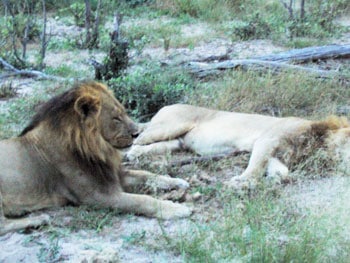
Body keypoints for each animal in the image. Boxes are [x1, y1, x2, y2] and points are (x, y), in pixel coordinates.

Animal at [0, 82, 191, 235]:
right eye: (116, 118)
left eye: (124, 112)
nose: (137, 133)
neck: (97, 148)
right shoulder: (96, 196)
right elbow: (141, 200)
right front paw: (177, 209)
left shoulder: (112, 175)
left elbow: (146, 174)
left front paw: (177, 181)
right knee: (3, 226)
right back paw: (38, 220)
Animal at [127, 105, 348, 190]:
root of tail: (165, 107)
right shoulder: (267, 140)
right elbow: (255, 168)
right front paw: (240, 182)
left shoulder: (277, 154)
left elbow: (281, 172)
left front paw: (272, 180)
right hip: (170, 125)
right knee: (137, 139)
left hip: (176, 140)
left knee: (149, 145)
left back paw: (136, 155)